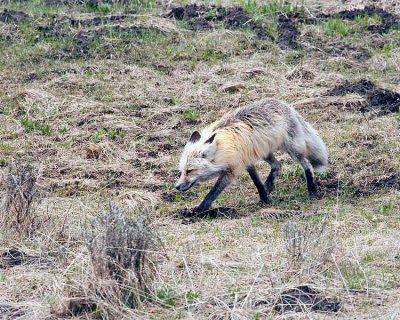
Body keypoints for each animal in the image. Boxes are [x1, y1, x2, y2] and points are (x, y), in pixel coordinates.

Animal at [177, 97, 326, 212]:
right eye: (182, 171)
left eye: (190, 171)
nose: (176, 186)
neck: (223, 148)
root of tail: (285, 105)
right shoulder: (247, 161)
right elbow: (257, 182)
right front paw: (265, 198)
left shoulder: (232, 170)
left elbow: (213, 192)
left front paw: (199, 209)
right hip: (264, 152)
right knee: (278, 165)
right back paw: (269, 186)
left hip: (293, 150)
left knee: (307, 166)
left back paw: (312, 190)